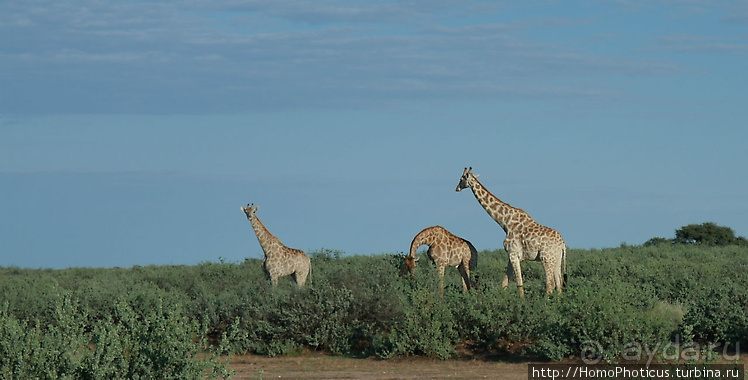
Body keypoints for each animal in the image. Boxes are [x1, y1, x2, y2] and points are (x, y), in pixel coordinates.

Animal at [456, 167, 568, 296]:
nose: (457, 188)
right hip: (557, 259)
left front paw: (521, 300)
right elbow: (504, 284)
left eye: (461, 179)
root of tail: (562, 244)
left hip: (546, 258)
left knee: (550, 284)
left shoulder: (514, 254)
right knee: (559, 284)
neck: (505, 222)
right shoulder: (511, 255)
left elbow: (519, 284)